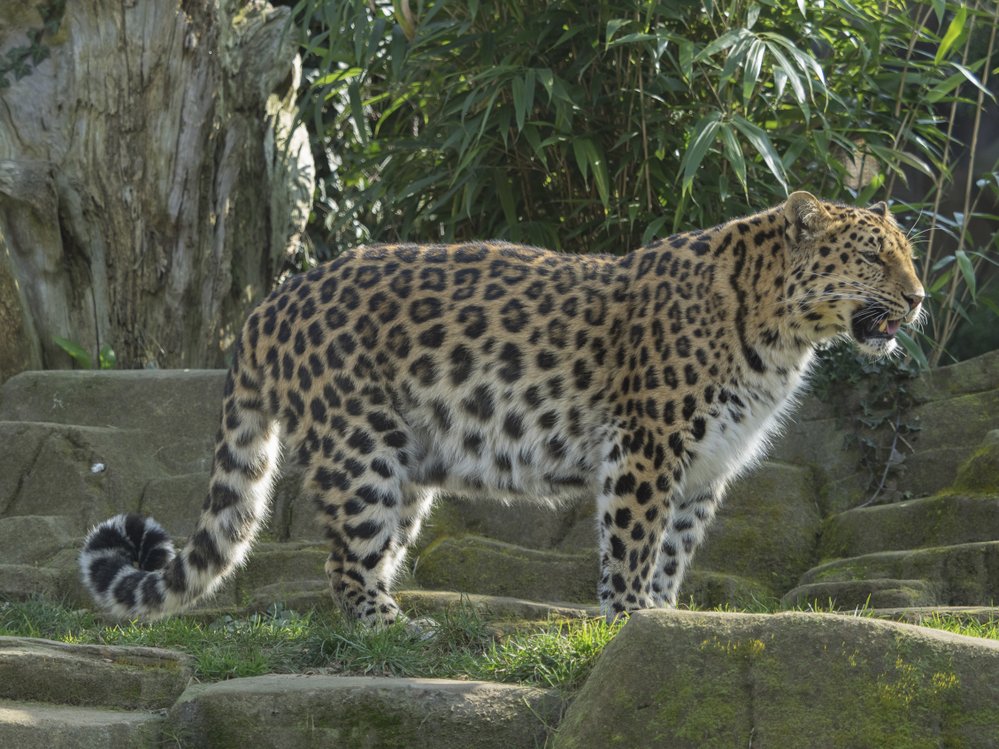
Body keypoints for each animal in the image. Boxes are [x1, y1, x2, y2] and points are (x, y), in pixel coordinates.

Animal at [82, 190, 924, 624]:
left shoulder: (703, 469)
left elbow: (673, 551)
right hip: (361, 448)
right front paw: (626, 623)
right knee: (344, 561)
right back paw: (398, 631)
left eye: (907, 254)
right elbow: (632, 545)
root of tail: (270, 304)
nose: (917, 297)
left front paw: (661, 621)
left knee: (372, 552)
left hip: (405, 463)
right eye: (871, 254)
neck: (780, 335)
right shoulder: (645, 449)